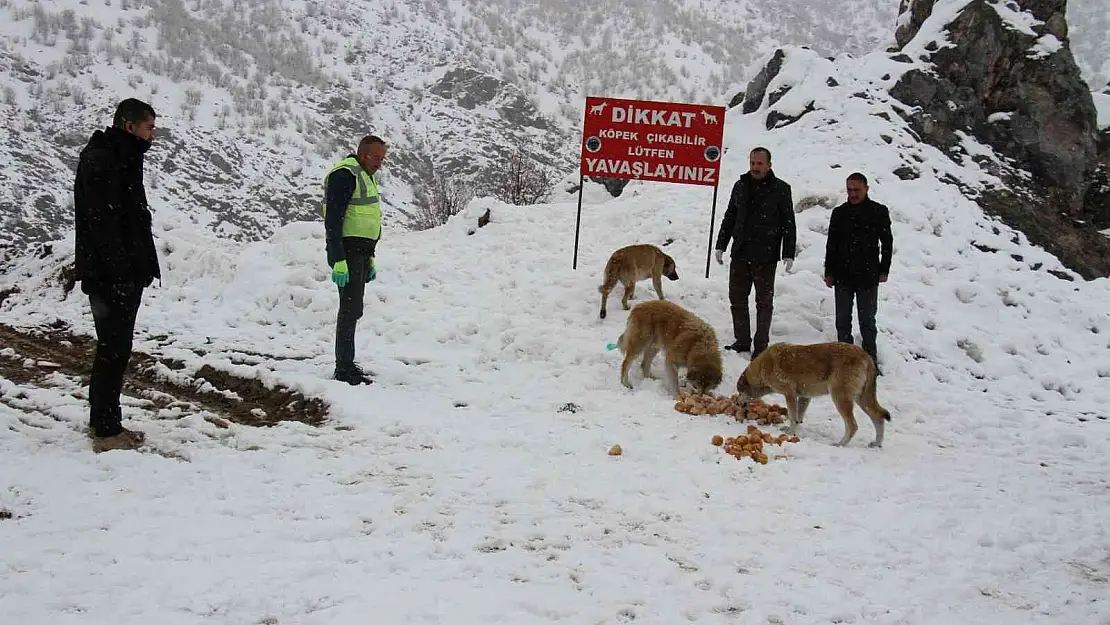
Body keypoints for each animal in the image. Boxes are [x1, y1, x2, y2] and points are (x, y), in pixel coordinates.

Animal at [737, 341, 892, 450]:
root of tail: (866, 356)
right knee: (878, 417)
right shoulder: (804, 397)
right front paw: (795, 432)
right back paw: (876, 444)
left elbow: (792, 417)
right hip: (862, 400)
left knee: (853, 425)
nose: (737, 403)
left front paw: (790, 433)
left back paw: (840, 444)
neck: (763, 367)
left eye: (739, 391)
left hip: (840, 398)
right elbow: (798, 418)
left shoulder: (790, 394)